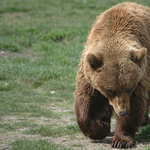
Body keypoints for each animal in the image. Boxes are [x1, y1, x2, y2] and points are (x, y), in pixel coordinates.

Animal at [74, 2, 150, 149]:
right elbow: (87, 99)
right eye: (111, 90)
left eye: (129, 88)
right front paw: (98, 130)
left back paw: (144, 119)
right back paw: (103, 123)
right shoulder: (89, 74)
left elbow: (135, 102)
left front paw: (121, 140)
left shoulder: (140, 76)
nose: (123, 111)